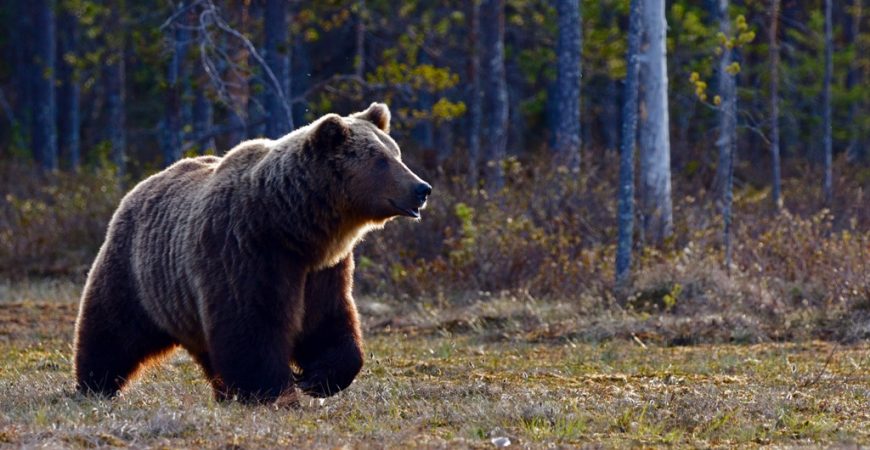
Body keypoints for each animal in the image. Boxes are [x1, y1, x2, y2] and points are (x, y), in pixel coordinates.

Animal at [75, 103, 432, 404]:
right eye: (381, 160)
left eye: (396, 152)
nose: (422, 188)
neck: (293, 226)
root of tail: (141, 185)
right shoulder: (245, 250)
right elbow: (251, 325)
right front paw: (275, 390)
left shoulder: (323, 269)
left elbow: (328, 321)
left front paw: (317, 378)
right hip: (137, 272)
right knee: (112, 329)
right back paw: (94, 385)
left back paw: (223, 392)